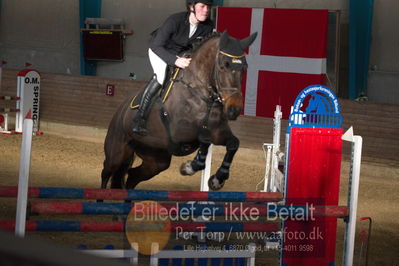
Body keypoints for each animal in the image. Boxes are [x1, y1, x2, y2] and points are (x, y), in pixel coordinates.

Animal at [101, 31, 258, 190]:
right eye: (223, 66)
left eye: (244, 68)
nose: (234, 110)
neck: (200, 92)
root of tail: (120, 110)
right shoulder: (180, 133)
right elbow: (205, 139)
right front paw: (189, 167)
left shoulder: (218, 131)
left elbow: (233, 144)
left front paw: (217, 179)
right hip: (117, 152)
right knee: (106, 172)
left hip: (156, 159)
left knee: (133, 176)